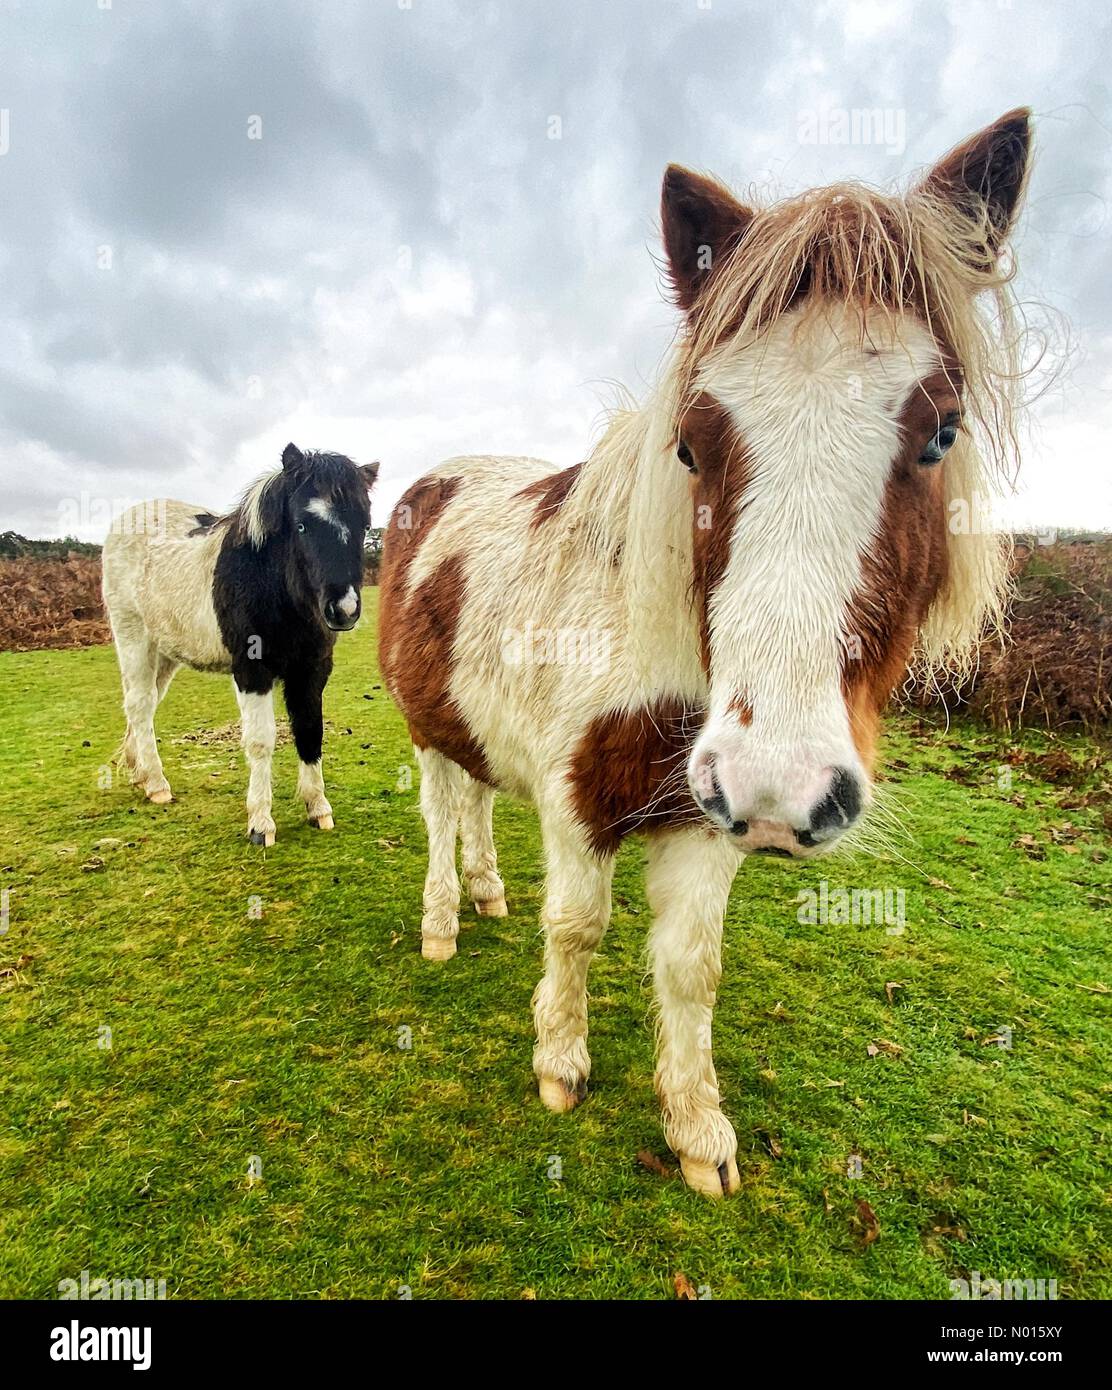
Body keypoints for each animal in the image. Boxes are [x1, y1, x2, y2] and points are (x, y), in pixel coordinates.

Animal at [104, 442, 383, 845]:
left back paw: (138, 772)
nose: (343, 609)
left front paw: (318, 808)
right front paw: (261, 823)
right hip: (133, 637)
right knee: (140, 705)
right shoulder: (253, 670)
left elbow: (310, 731)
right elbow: (260, 741)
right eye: (301, 525)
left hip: (166, 651)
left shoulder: (312, 669)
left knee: (145, 704)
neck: (269, 580)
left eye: (364, 526)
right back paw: (156, 784)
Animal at [383, 111, 1034, 1195]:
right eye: (690, 445)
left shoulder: (702, 820)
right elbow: (577, 930)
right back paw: (441, 923)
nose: (780, 783)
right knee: (441, 816)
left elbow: (692, 967)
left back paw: (484, 892)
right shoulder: (577, 803)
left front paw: (696, 1127)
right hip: (429, 732)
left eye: (942, 432)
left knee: (474, 806)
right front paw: (560, 1063)